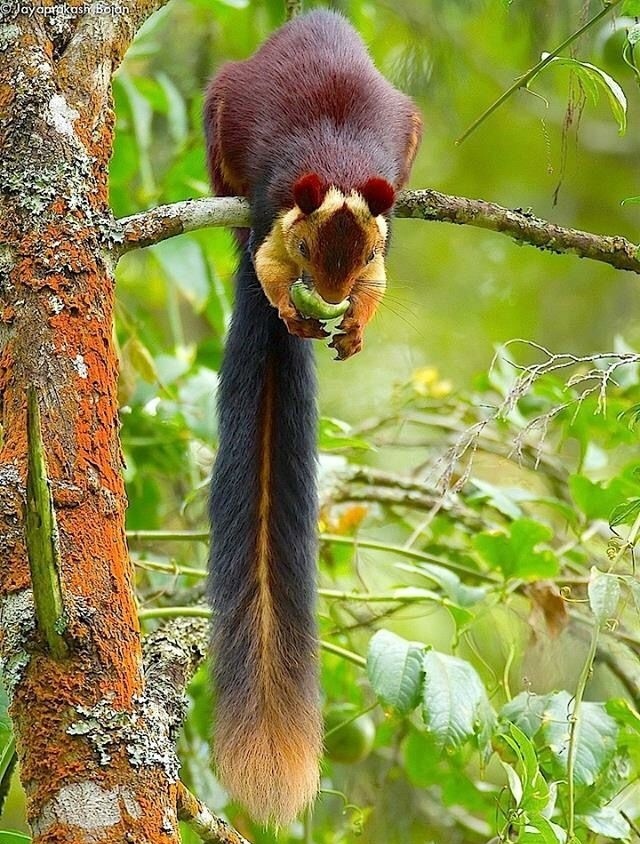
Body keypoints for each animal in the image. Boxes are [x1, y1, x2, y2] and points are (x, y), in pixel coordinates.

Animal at [204, 6, 420, 824]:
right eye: (305, 243)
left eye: (360, 258)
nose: (328, 294)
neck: (334, 162)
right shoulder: (274, 207)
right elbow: (267, 267)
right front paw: (291, 309)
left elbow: (383, 281)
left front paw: (356, 323)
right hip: (222, 114)